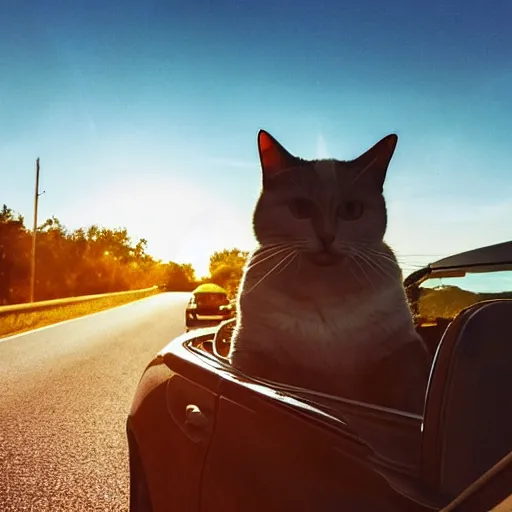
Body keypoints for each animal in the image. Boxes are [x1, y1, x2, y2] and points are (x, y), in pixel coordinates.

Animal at [228, 129, 432, 416]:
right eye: (300, 208)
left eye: (351, 210)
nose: (326, 237)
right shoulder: (249, 353)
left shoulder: (404, 351)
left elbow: (411, 396)